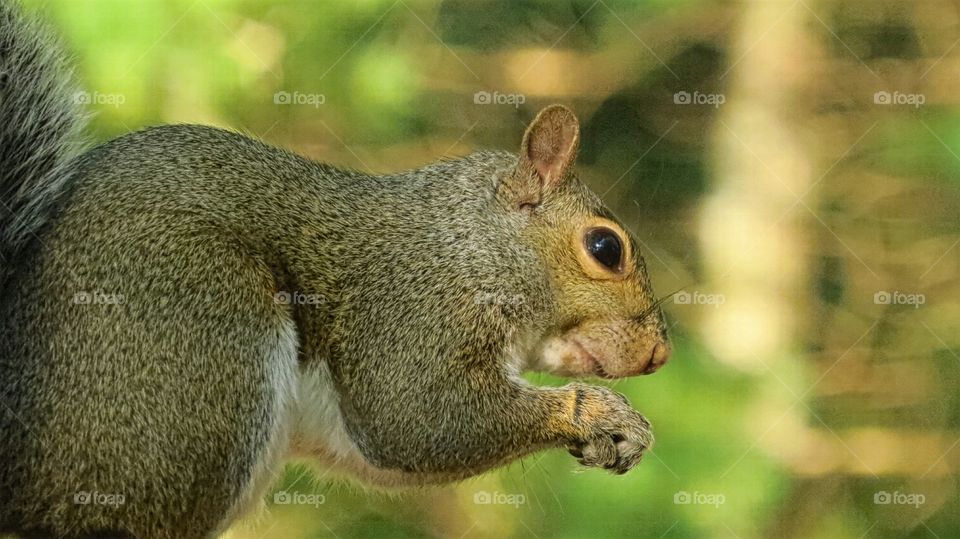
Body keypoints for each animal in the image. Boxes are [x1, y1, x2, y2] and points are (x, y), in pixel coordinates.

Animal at [0, 2, 671, 538]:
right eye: (605, 248)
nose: (659, 354)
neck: (467, 246)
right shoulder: (410, 313)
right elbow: (417, 418)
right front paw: (599, 413)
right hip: (203, 330)